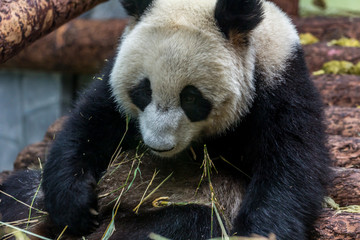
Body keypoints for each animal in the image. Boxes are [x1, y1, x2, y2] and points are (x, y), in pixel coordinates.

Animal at [0, 0, 332, 239]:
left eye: (191, 98)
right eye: (143, 91)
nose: (158, 145)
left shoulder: (280, 81)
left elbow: (289, 169)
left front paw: (258, 233)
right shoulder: (112, 83)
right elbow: (87, 126)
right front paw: (75, 206)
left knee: (193, 223)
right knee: (18, 192)